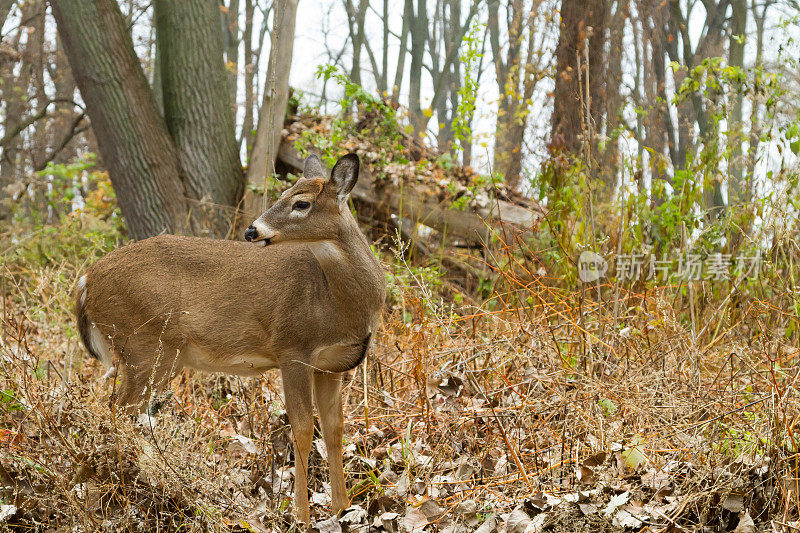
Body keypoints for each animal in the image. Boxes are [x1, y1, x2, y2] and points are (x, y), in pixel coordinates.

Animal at [73, 152, 386, 520]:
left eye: (301, 203)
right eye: (284, 193)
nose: (252, 230)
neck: (337, 304)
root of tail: (86, 280)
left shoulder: (332, 365)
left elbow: (335, 430)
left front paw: (342, 508)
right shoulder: (292, 348)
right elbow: (304, 430)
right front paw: (301, 514)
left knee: (117, 413)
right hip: (144, 347)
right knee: (116, 413)